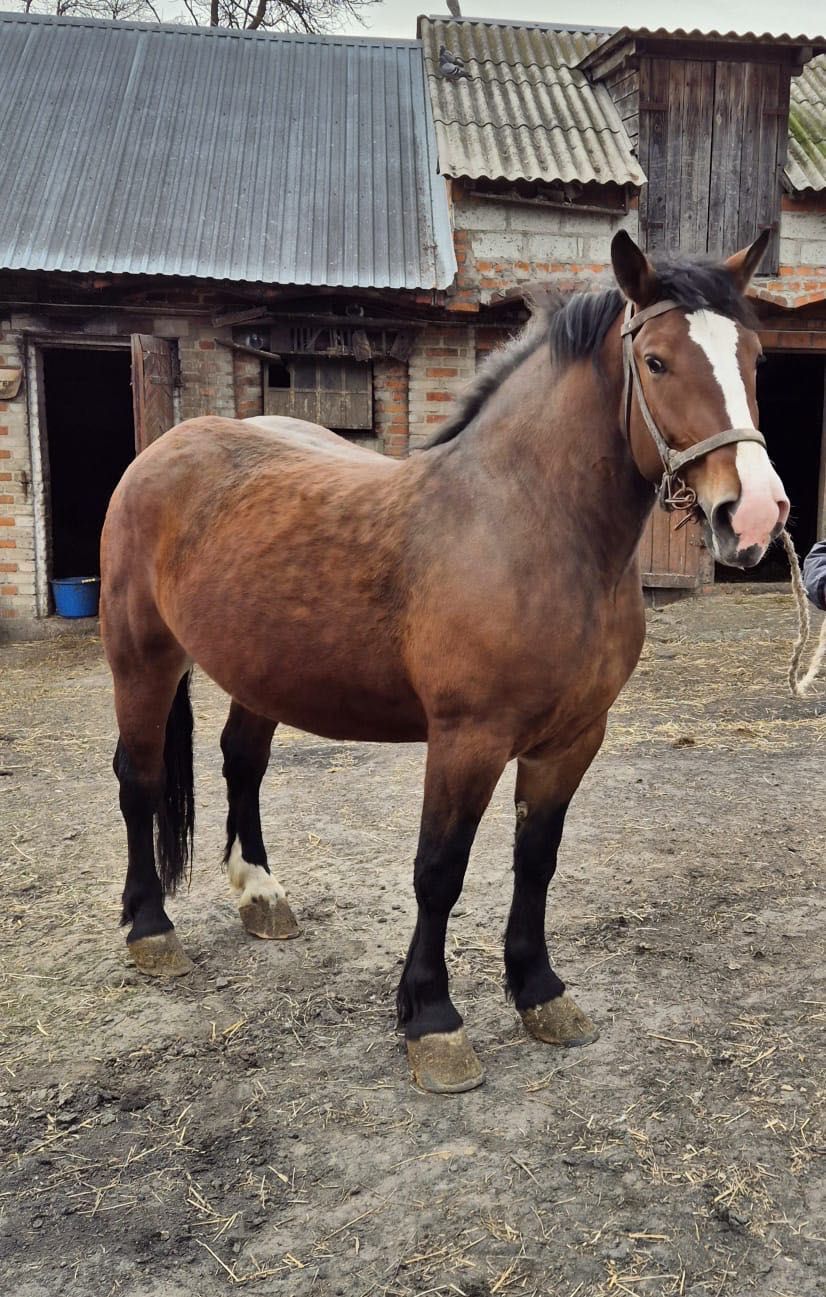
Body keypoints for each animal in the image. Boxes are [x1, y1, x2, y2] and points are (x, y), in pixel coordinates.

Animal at [101, 228, 788, 1089]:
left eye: (754, 357)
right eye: (658, 361)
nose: (754, 515)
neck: (527, 524)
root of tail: (168, 445)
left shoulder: (572, 739)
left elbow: (536, 859)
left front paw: (540, 989)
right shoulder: (468, 738)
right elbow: (440, 868)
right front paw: (432, 1019)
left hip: (259, 671)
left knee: (240, 764)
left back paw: (261, 895)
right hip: (142, 657)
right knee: (139, 780)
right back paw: (150, 928)